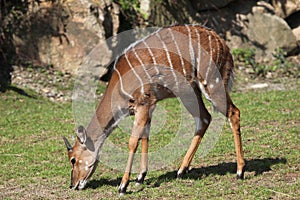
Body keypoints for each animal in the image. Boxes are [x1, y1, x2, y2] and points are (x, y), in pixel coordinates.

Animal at [62, 24, 244, 195]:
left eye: (73, 159)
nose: (73, 185)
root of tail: (223, 44)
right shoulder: (149, 105)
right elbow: (145, 136)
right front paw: (140, 177)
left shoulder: (143, 103)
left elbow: (133, 142)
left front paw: (123, 186)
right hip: (189, 92)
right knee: (205, 118)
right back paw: (181, 170)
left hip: (212, 84)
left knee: (234, 112)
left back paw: (240, 171)